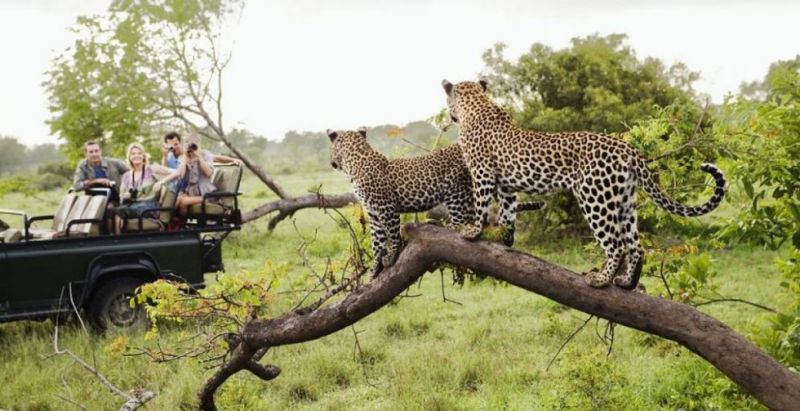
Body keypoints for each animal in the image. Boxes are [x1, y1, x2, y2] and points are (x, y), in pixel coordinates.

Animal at [327, 127, 542, 277]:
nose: (331, 163)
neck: (354, 162)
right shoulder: (373, 212)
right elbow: (377, 241)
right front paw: (374, 269)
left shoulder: (386, 208)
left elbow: (392, 235)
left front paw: (392, 256)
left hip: (456, 190)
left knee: (461, 223)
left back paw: (439, 223)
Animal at [440, 79, 726, 290]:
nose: (449, 116)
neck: (477, 104)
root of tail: (629, 149)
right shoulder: (507, 185)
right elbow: (508, 212)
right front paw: (505, 238)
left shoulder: (482, 173)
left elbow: (481, 204)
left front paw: (473, 231)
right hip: (624, 201)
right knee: (636, 246)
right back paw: (626, 282)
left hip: (595, 198)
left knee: (617, 245)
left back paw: (600, 280)